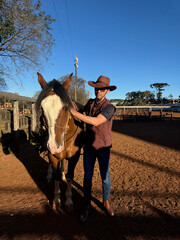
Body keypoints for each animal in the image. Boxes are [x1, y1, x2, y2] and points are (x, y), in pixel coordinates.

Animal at [36, 73, 84, 212]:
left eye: (66, 107)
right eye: (42, 108)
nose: (54, 146)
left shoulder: (74, 156)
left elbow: (70, 176)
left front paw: (68, 201)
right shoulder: (53, 154)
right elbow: (56, 174)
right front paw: (56, 200)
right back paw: (49, 175)